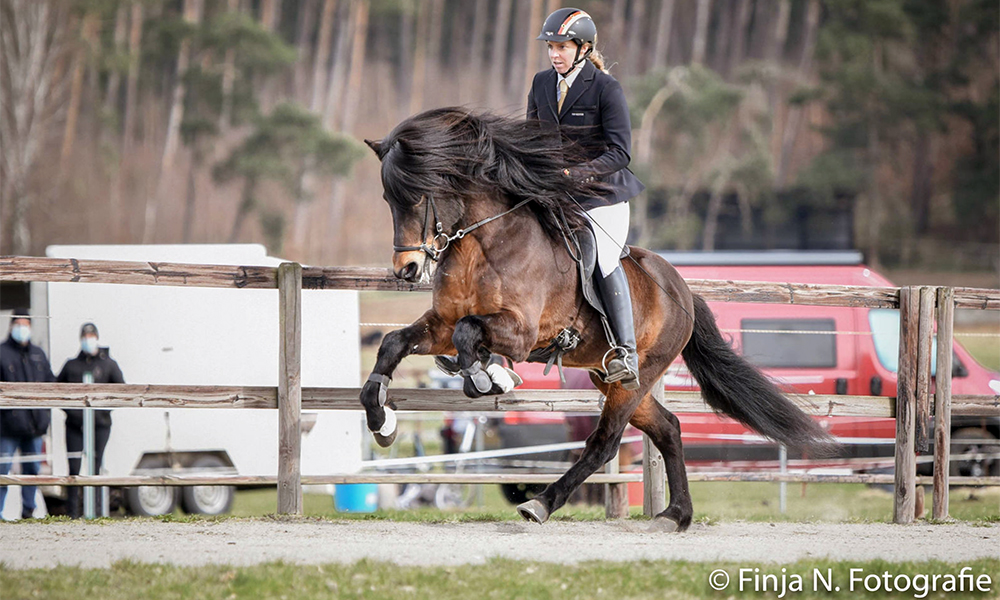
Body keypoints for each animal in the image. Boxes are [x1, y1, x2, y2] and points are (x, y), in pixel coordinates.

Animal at [358, 108, 828, 528]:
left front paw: (487, 378)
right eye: (387, 199)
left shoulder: (522, 333)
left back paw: (542, 504)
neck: (483, 244)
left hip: (637, 374)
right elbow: (398, 342)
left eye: (419, 195)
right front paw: (383, 420)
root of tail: (683, 292)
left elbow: (468, 331)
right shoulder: (440, 322)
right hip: (613, 380)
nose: (407, 271)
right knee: (669, 428)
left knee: (605, 443)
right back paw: (674, 516)